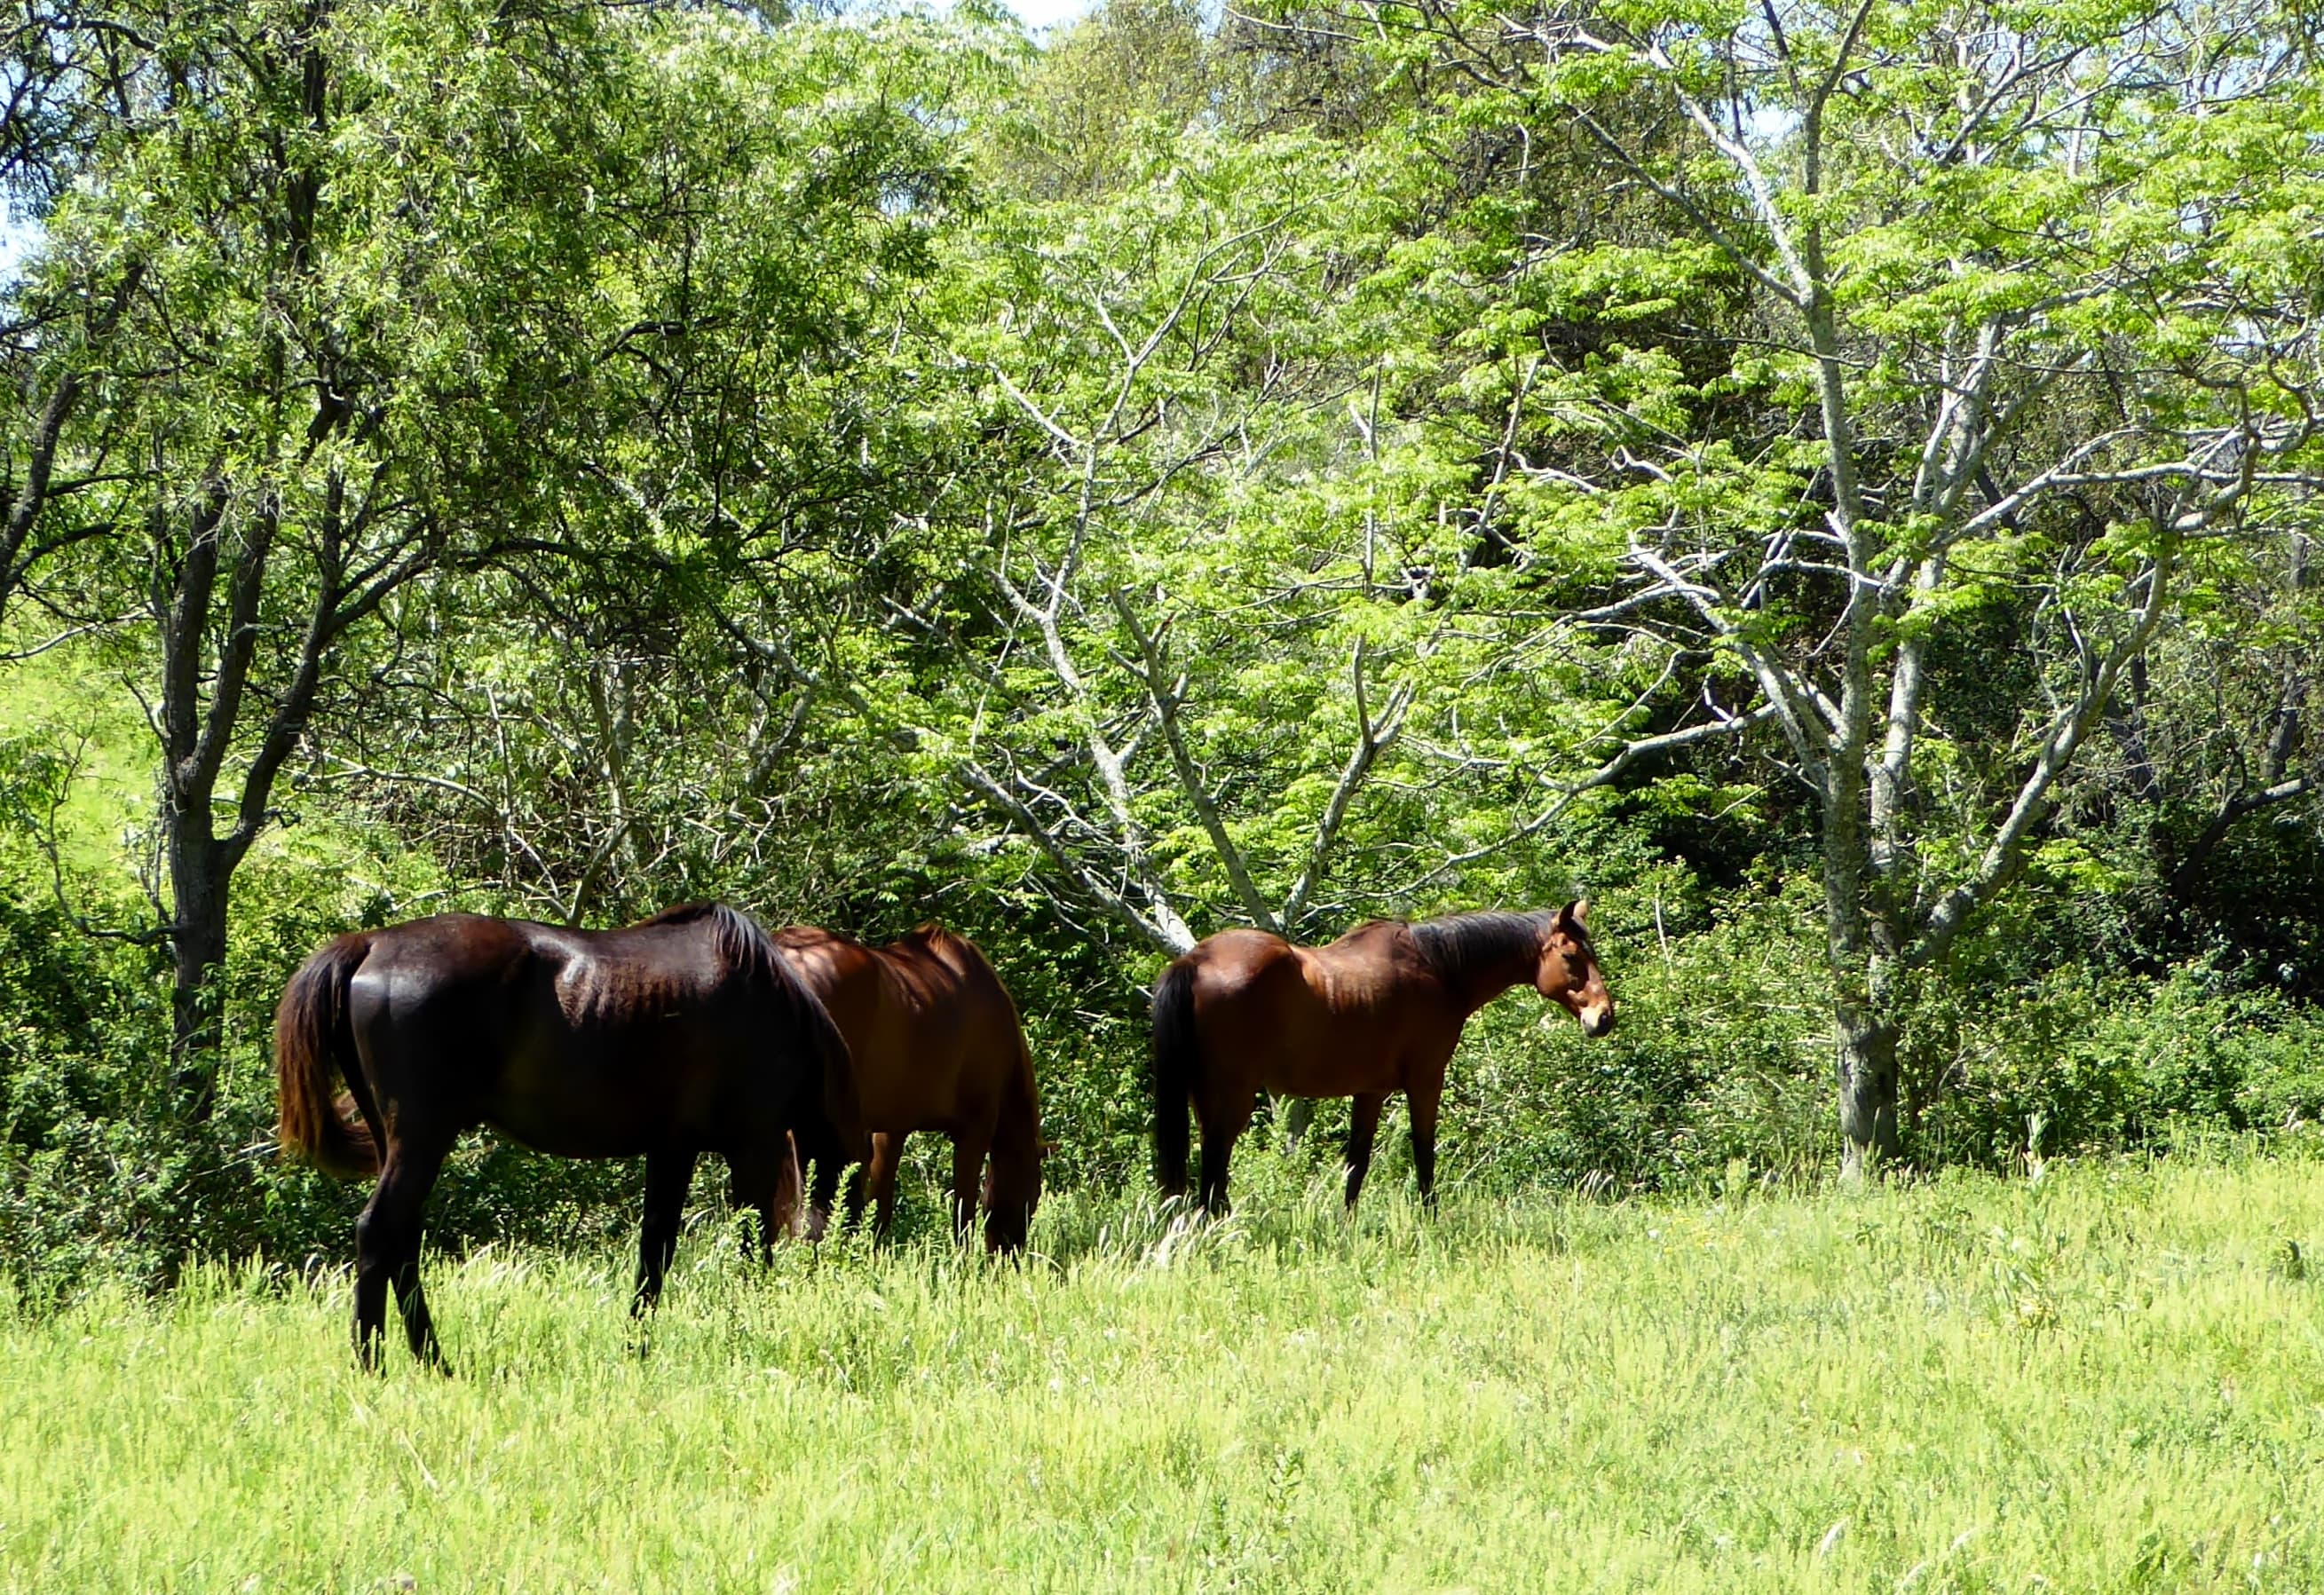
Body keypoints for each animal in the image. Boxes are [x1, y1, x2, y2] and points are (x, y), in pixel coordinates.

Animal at [274, 902, 865, 1368]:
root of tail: (371, 943)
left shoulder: (672, 1150)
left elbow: (655, 1251)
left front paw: (635, 1347)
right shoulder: (752, 1145)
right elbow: (751, 1247)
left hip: (399, 1141)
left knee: (403, 1240)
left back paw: (434, 1362)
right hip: (422, 1137)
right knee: (379, 1231)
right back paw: (372, 1364)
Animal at [769, 923, 1044, 1253]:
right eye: (1034, 1195)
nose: (1009, 1253)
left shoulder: (891, 1130)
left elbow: (880, 1206)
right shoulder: (975, 1131)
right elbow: (963, 1211)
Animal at [1151, 900, 1613, 1215]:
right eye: (1571, 956)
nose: (1604, 1017)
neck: (1438, 968)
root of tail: (1196, 960)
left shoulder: (1369, 1091)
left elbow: (1357, 1163)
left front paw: (1347, 1224)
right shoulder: (1426, 1079)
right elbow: (1424, 1153)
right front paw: (1430, 1219)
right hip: (1233, 1097)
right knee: (1213, 1168)